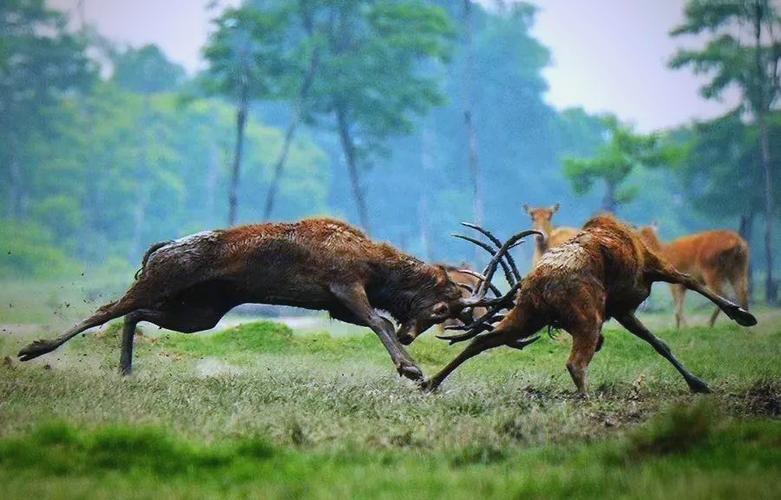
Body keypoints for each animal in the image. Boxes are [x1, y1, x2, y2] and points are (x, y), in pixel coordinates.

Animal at [17, 218, 500, 382]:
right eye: (442, 307)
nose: (411, 333)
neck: (377, 268)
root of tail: (158, 249)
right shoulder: (343, 285)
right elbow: (378, 322)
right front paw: (410, 369)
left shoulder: (337, 306)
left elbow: (371, 323)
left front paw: (409, 364)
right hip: (164, 283)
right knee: (105, 310)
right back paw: (33, 349)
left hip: (201, 312)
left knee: (134, 314)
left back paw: (125, 369)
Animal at [427, 214, 757, 396]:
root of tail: (540, 283)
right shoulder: (651, 267)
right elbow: (690, 281)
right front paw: (742, 315)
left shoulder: (622, 310)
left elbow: (659, 343)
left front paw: (698, 383)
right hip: (588, 315)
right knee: (575, 363)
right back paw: (585, 397)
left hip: (528, 314)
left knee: (481, 341)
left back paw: (430, 382)